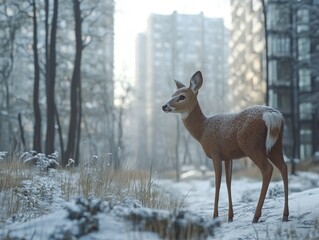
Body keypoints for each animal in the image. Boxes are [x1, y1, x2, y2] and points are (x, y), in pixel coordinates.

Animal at [162, 71, 290, 223]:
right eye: (172, 94)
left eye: (182, 96)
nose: (164, 106)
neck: (202, 130)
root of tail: (272, 115)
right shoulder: (228, 157)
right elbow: (229, 182)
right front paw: (230, 216)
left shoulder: (215, 153)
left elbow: (218, 182)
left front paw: (215, 215)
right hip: (275, 145)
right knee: (284, 167)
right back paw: (285, 215)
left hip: (252, 145)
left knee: (267, 169)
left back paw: (256, 216)